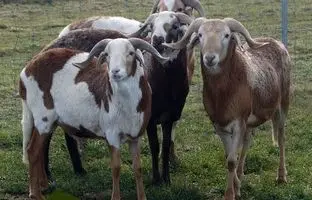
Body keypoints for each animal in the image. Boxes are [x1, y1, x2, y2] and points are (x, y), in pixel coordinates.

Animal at [19, 38, 168, 200]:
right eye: (107, 54)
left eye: (131, 53)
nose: (114, 72)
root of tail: (27, 69)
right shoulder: (112, 135)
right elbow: (116, 167)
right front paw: (115, 197)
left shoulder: (136, 135)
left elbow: (137, 168)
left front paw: (142, 197)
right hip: (43, 117)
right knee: (32, 150)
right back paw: (36, 194)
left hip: (48, 121)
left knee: (39, 150)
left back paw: (44, 186)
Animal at [129, 10, 193, 183]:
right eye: (151, 26)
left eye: (175, 26)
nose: (157, 39)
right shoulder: (150, 119)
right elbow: (154, 146)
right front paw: (156, 179)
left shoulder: (169, 118)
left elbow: (165, 146)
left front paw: (166, 178)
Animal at [163, 17, 292, 200]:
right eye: (200, 35)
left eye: (226, 35)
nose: (210, 58)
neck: (225, 92)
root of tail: (276, 42)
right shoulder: (219, 125)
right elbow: (229, 156)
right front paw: (237, 187)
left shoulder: (238, 123)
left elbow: (231, 160)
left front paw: (230, 194)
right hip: (250, 121)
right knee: (247, 143)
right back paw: (242, 173)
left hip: (283, 105)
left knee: (281, 139)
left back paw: (281, 176)